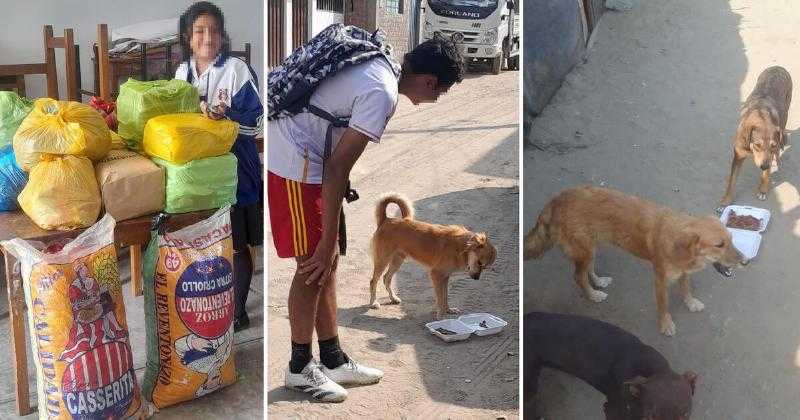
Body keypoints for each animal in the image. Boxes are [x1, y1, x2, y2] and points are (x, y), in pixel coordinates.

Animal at [520, 185, 748, 336]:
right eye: (719, 245)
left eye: (732, 239)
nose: (745, 262)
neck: (678, 240)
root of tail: (553, 203)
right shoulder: (659, 280)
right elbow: (663, 305)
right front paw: (665, 325)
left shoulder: (684, 272)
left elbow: (685, 289)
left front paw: (690, 303)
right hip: (584, 250)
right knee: (578, 276)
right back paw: (593, 295)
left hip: (591, 246)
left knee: (587, 270)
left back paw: (599, 281)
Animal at [720, 66, 792, 210]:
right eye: (757, 144)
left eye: (773, 145)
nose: (763, 166)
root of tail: (778, 67)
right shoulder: (738, 155)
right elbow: (731, 181)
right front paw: (725, 201)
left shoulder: (770, 154)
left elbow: (766, 174)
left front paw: (763, 190)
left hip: (785, 112)